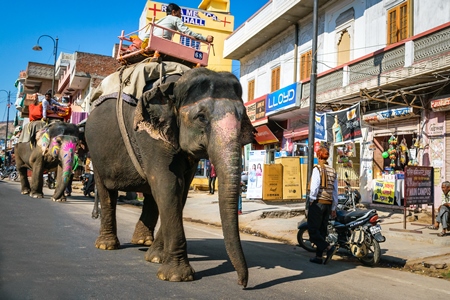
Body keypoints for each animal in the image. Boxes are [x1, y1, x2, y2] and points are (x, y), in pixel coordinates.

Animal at [83, 65, 253, 286]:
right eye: (201, 117)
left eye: (242, 117)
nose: (242, 283)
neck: (175, 86)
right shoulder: (148, 135)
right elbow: (168, 185)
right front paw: (176, 276)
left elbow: (180, 190)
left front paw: (156, 257)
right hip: (95, 154)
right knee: (106, 191)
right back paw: (107, 245)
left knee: (150, 194)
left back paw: (143, 242)